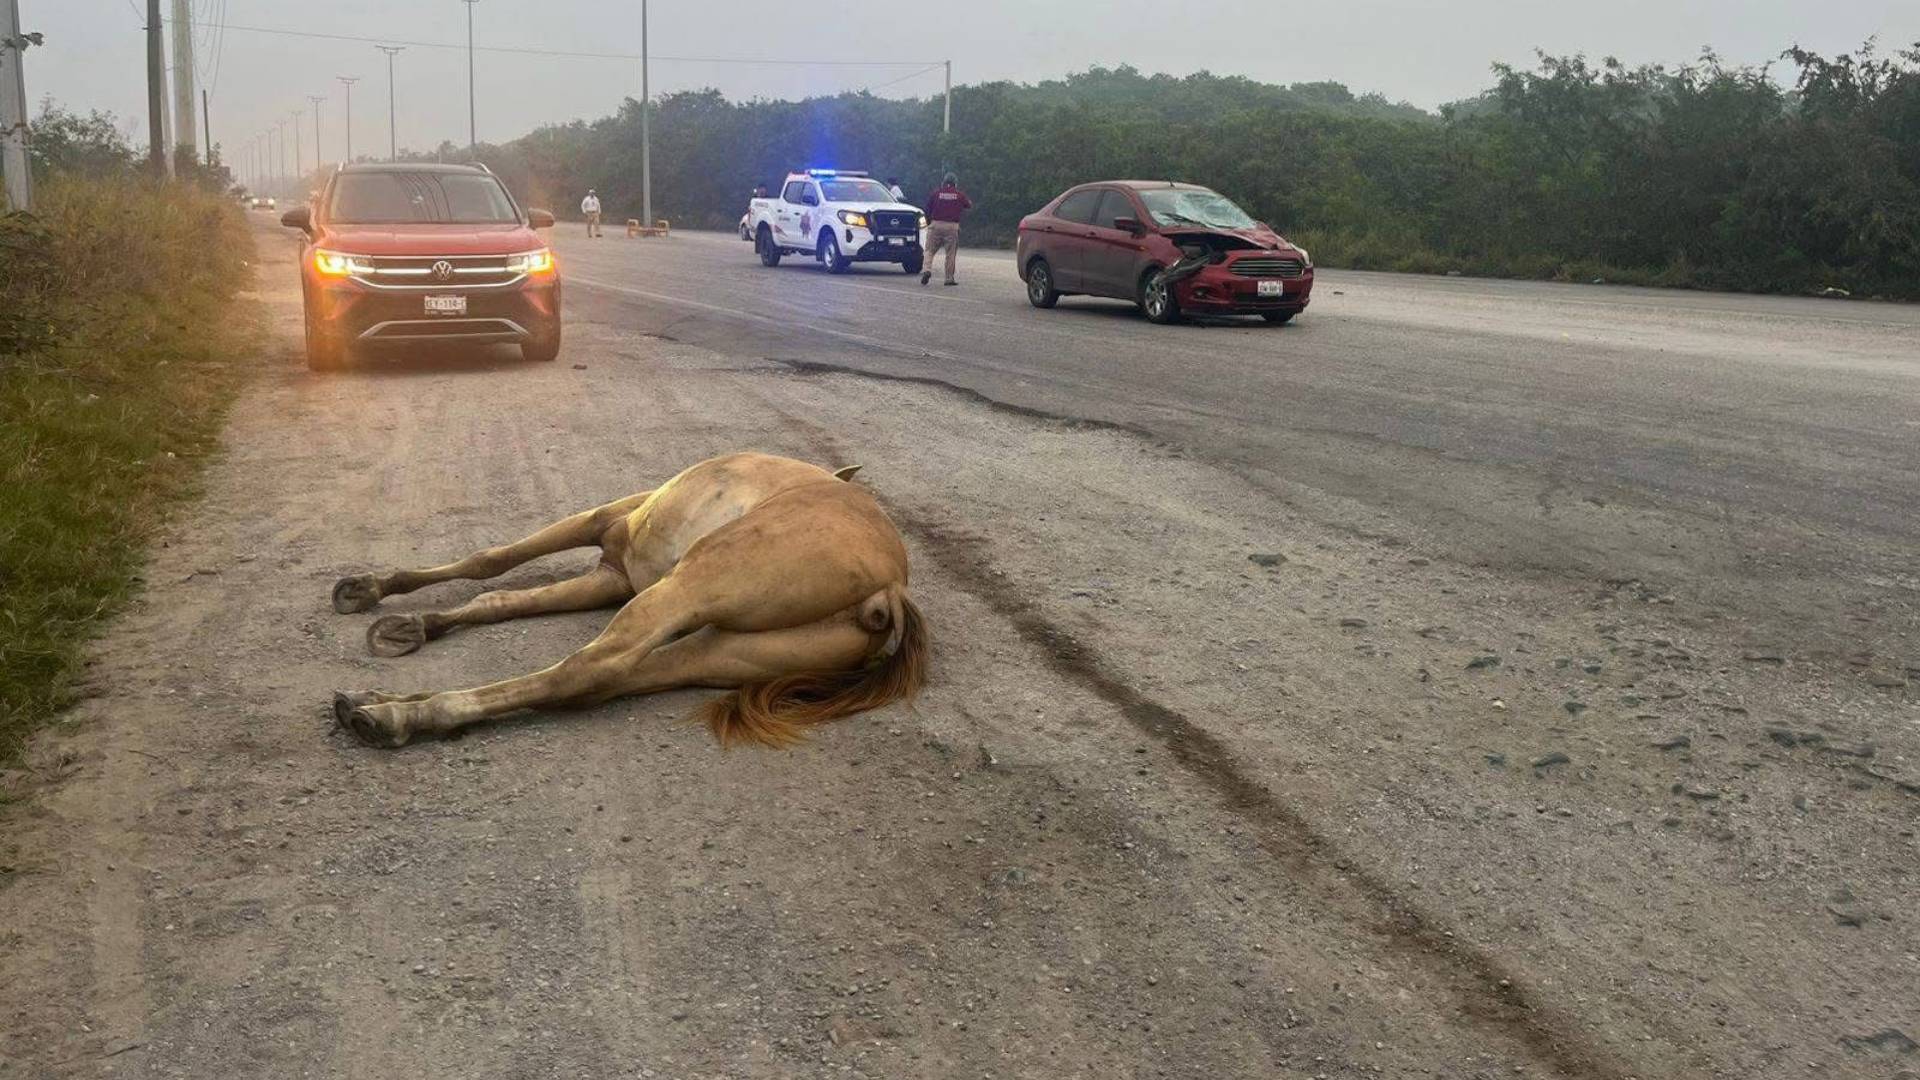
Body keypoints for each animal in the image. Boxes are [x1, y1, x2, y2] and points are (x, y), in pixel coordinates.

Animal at [328, 452, 926, 749]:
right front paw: (413, 624)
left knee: (584, 669)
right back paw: (388, 706)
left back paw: (402, 714)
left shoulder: (600, 522)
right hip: (718, 651)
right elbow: (498, 597)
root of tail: (887, 591)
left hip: (689, 586)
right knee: (608, 679)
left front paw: (373, 590)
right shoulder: (610, 576)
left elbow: (491, 561)